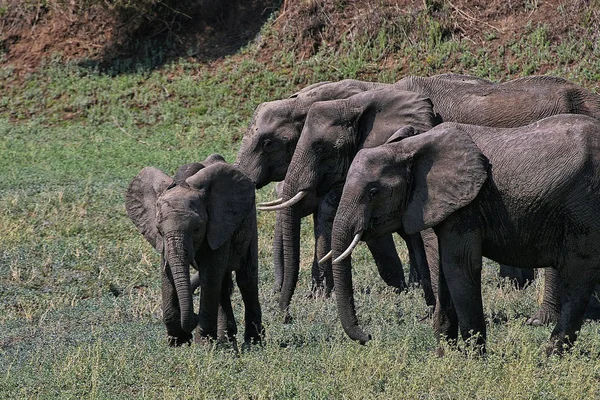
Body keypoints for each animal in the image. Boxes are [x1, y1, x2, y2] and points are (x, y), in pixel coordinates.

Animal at [125, 156, 262, 346]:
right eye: (159, 230)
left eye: (197, 229)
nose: (194, 316)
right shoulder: (162, 241)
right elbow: (168, 273)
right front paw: (178, 342)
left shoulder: (218, 224)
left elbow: (210, 272)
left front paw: (202, 344)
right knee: (222, 284)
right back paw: (226, 340)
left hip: (249, 223)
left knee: (246, 279)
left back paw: (253, 343)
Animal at [330, 115, 600, 354]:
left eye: (373, 192)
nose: (368, 336)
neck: (411, 148)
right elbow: (443, 268)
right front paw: (443, 356)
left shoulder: (466, 207)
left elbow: (459, 266)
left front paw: (473, 359)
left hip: (584, 208)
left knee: (578, 275)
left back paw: (550, 354)